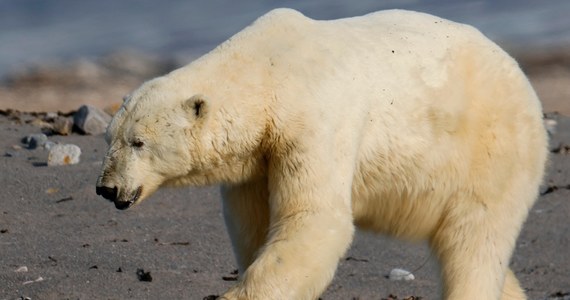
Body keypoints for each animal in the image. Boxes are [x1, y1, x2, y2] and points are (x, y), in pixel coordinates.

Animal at [96, 8, 544, 300]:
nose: (106, 187)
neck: (269, 69)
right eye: (109, 138)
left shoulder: (314, 121)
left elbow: (315, 218)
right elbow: (254, 224)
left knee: (474, 241)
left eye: (139, 142)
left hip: (490, 149)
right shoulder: (257, 161)